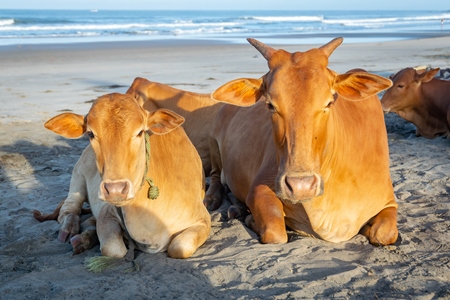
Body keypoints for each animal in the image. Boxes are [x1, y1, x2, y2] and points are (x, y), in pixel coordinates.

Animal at [43, 93, 209, 258]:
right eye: (90, 133)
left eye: (140, 132)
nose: (115, 189)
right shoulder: (108, 212)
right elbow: (113, 249)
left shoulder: (202, 219)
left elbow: (179, 247)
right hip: (78, 177)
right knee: (68, 209)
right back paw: (70, 231)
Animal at [204, 37, 398, 246]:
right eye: (270, 104)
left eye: (329, 102)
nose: (300, 187)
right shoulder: (260, 188)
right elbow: (275, 232)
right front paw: (250, 219)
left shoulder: (388, 200)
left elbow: (384, 234)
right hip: (213, 142)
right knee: (215, 176)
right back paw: (215, 201)